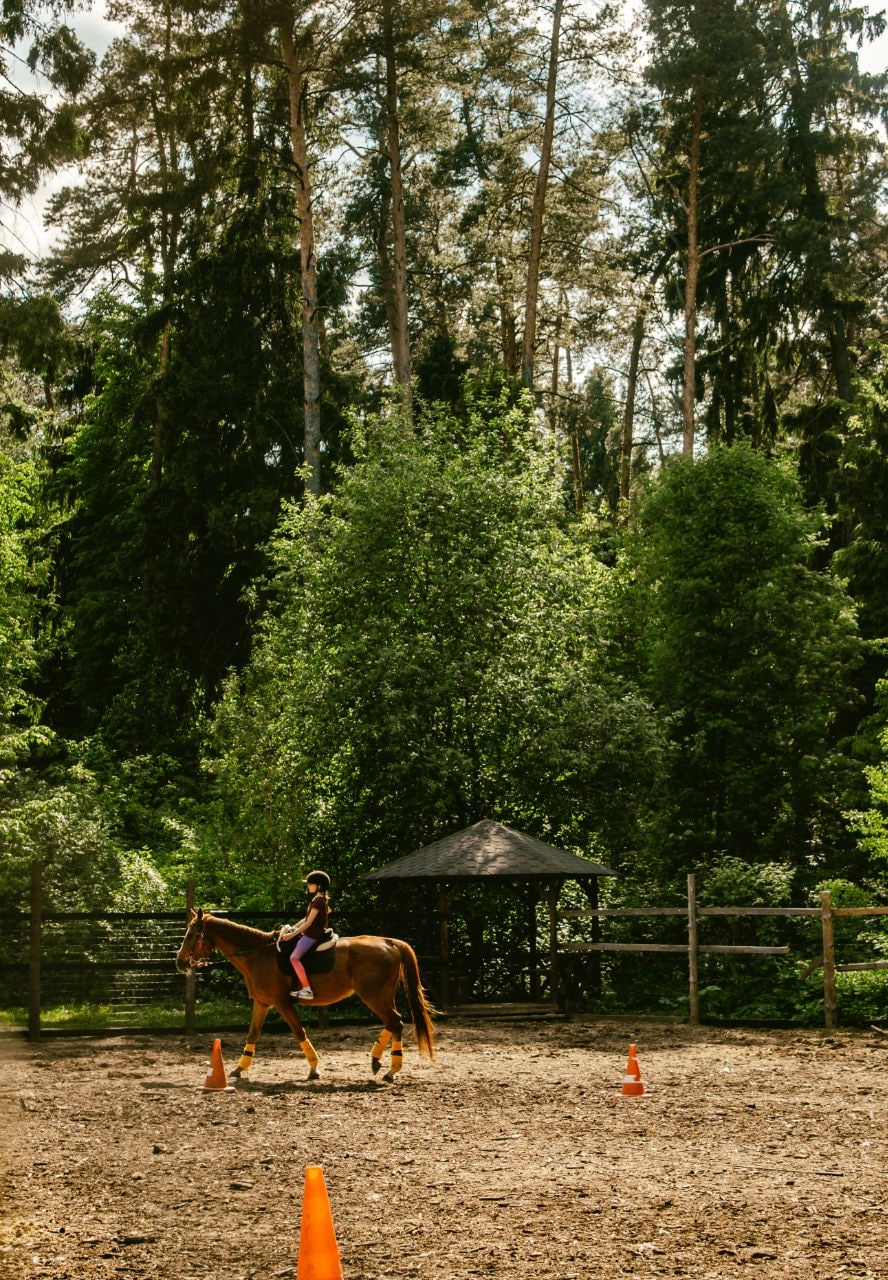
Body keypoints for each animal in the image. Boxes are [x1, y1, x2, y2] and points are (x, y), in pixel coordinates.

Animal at [175, 906, 437, 1085]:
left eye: (191, 935)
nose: (180, 962)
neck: (259, 955)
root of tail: (390, 942)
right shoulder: (262, 1003)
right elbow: (252, 1034)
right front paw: (239, 1069)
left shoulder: (282, 1003)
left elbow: (299, 1032)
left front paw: (314, 1069)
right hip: (382, 996)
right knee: (394, 1023)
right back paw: (380, 1064)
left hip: (373, 995)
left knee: (394, 1021)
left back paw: (388, 1068)